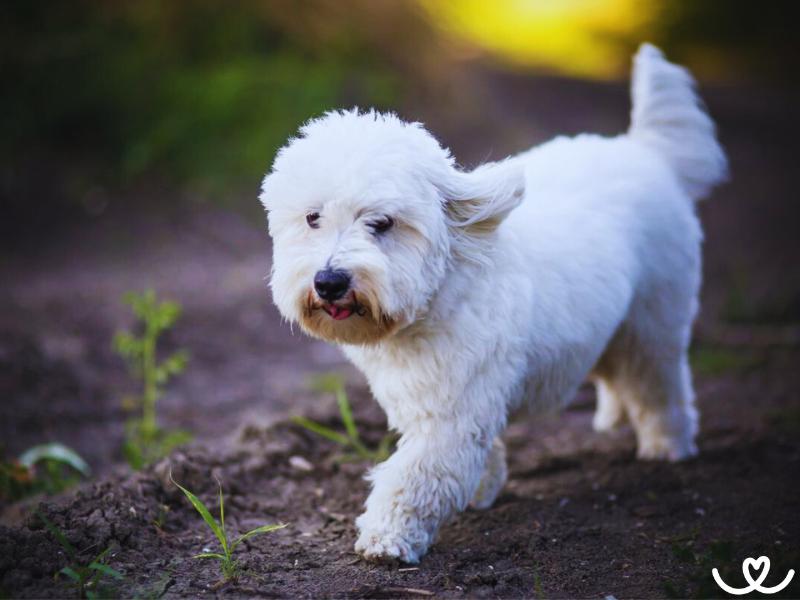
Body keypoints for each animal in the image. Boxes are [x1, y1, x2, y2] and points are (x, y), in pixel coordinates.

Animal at [260, 44, 724, 564]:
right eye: (312, 218)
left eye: (382, 223)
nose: (329, 281)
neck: (439, 293)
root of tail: (644, 151)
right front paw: (482, 488)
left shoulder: (451, 414)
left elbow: (414, 476)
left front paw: (387, 536)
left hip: (654, 323)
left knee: (658, 385)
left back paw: (667, 445)